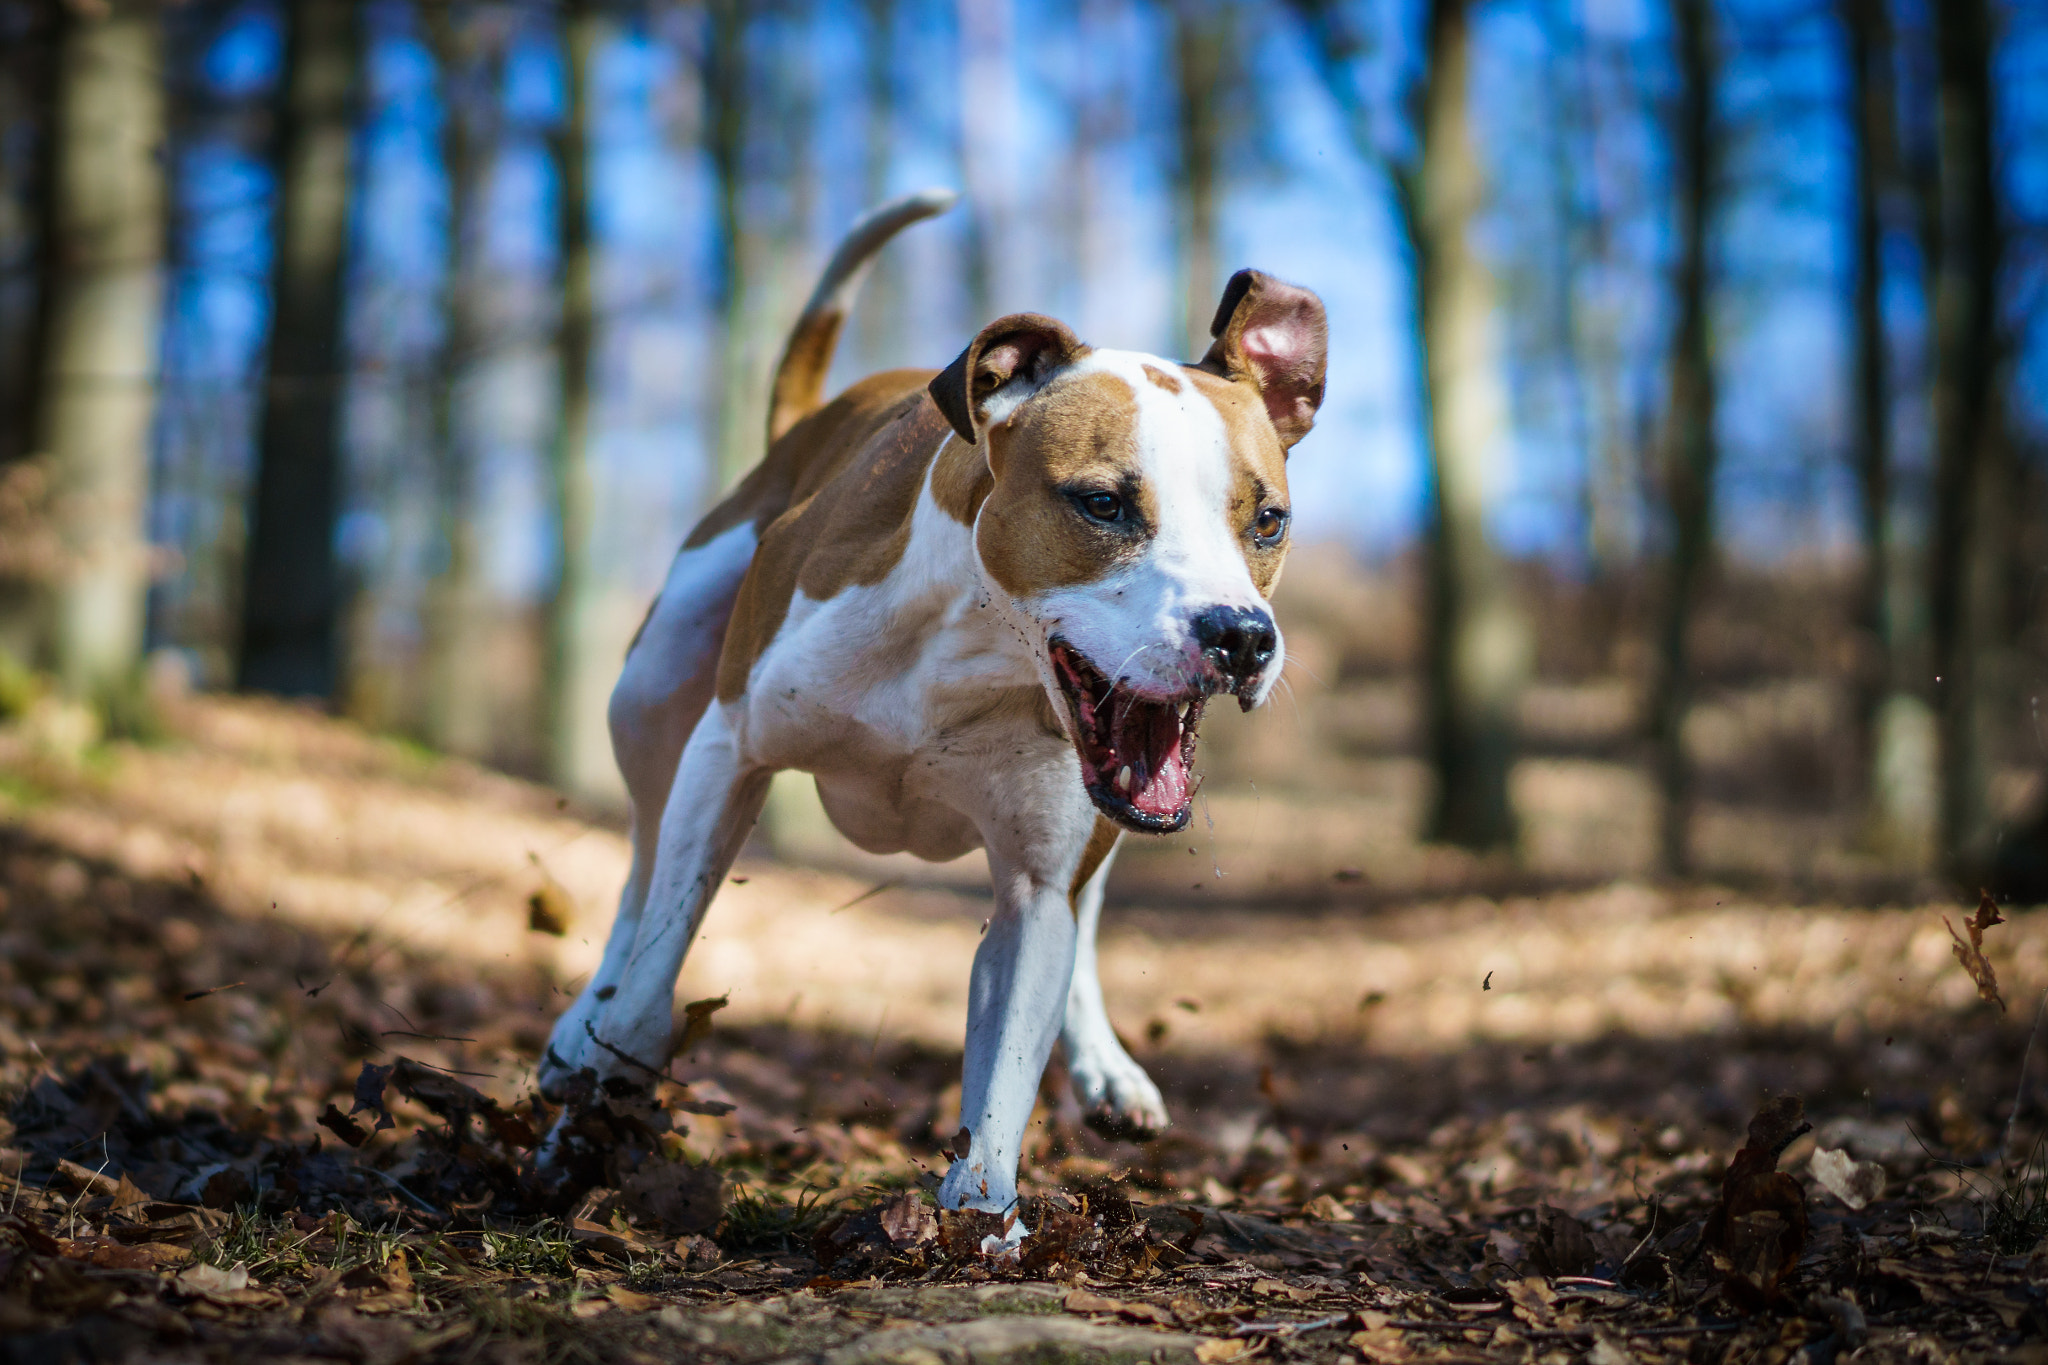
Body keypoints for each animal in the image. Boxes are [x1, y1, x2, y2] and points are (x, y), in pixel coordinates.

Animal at [532, 184, 1327, 1219]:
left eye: (1267, 520)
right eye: (1103, 504)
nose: (1240, 635)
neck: (973, 649)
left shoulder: (1037, 887)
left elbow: (1007, 1059)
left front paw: (979, 1220)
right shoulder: (730, 751)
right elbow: (653, 971)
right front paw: (592, 1120)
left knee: (1089, 911)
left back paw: (1106, 1068)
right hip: (655, 685)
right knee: (639, 861)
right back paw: (577, 1029)